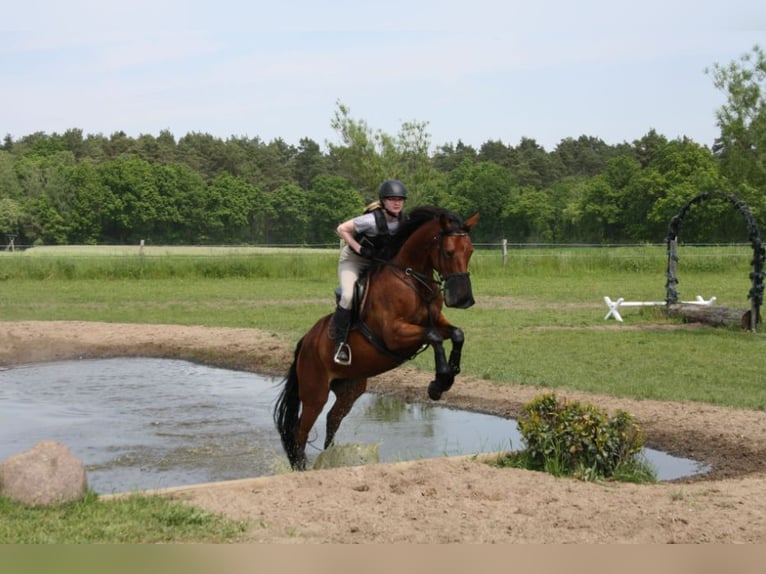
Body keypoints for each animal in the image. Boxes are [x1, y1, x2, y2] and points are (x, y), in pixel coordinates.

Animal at [274, 207, 480, 472]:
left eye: (470, 251)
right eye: (448, 252)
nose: (464, 299)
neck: (412, 279)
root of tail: (304, 343)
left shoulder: (435, 322)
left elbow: (457, 334)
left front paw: (448, 376)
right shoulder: (394, 334)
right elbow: (434, 338)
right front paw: (439, 382)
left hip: (350, 388)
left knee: (333, 419)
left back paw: (331, 460)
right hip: (314, 393)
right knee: (300, 432)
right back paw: (303, 469)